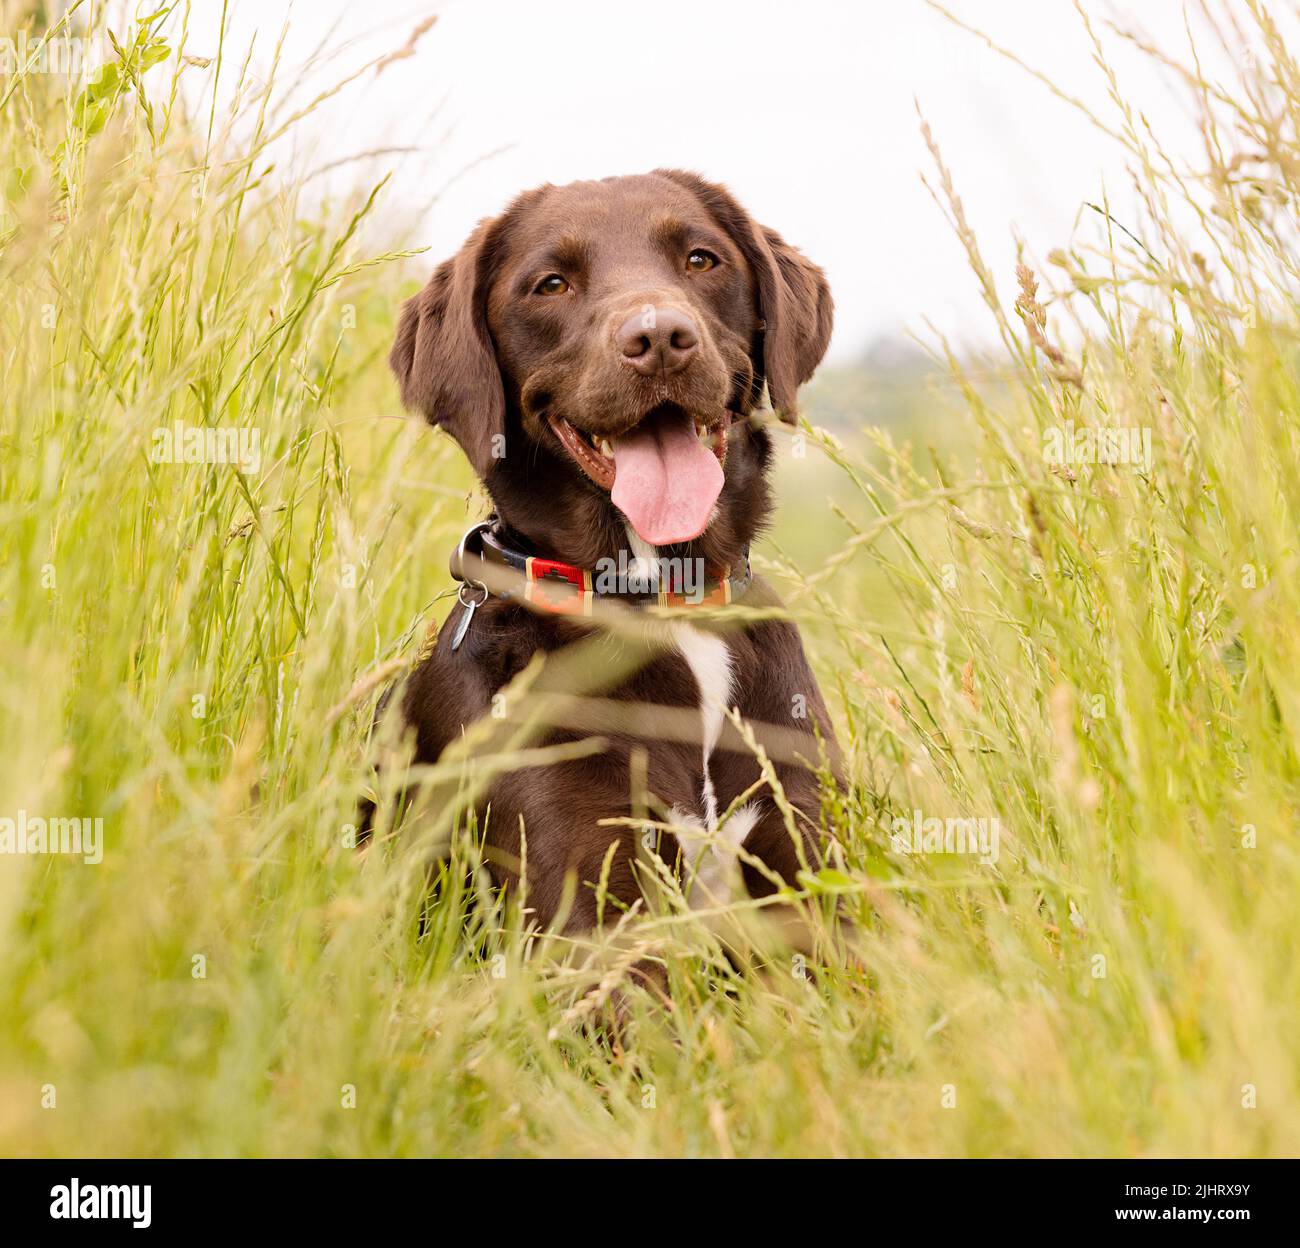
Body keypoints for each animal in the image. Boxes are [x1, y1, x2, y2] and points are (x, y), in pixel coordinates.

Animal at [379, 170, 837, 941]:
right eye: (551, 284)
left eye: (702, 259)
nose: (659, 338)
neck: (666, 604)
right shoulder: (585, 913)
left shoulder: (814, 871)